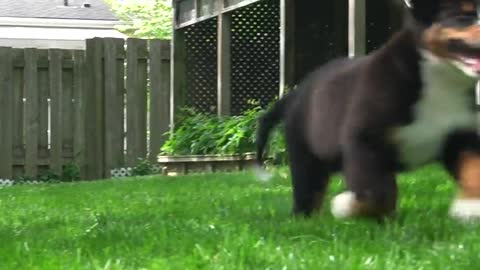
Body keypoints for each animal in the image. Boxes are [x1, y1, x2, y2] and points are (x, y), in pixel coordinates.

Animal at [258, 0, 480, 221]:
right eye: (463, 16)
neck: (442, 79)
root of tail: (295, 93)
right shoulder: (364, 141)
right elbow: (377, 193)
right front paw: (346, 206)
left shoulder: (461, 136)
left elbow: (473, 169)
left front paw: (470, 206)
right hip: (305, 151)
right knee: (308, 189)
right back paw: (305, 219)